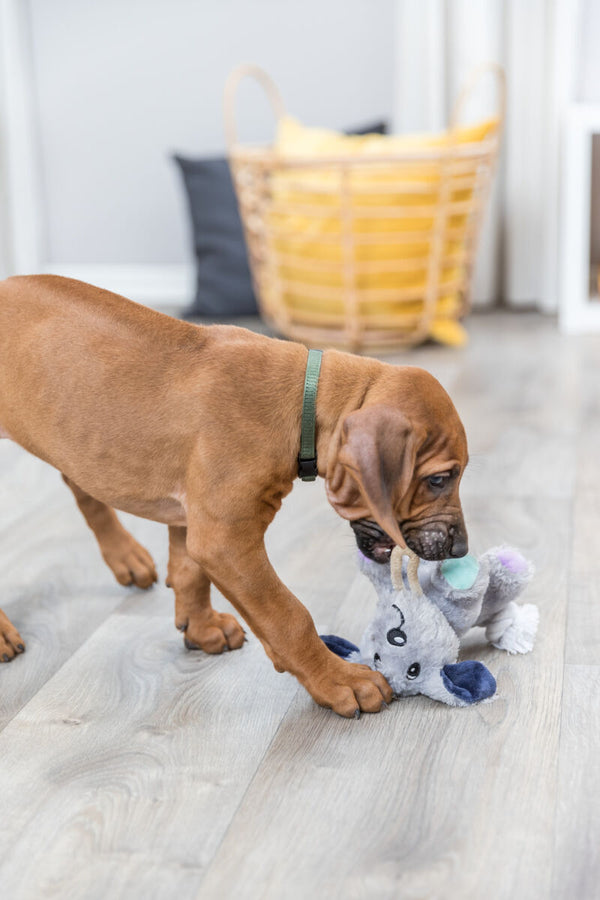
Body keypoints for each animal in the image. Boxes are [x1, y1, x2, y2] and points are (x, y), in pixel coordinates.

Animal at [0, 276, 468, 716]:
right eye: (440, 479)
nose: (461, 549)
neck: (304, 401)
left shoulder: (197, 517)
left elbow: (190, 570)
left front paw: (199, 626)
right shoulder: (226, 540)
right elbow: (288, 615)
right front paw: (340, 681)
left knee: (81, 485)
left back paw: (125, 556)